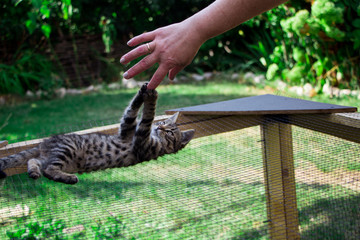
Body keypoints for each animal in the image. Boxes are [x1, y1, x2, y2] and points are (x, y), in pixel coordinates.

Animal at [0, 82, 194, 184]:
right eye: (162, 123)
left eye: (170, 133)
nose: (160, 128)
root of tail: (45, 143)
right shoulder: (126, 130)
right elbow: (131, 111)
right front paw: (143, 91)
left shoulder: (142, 140)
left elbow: (147, 114)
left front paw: (152, 96)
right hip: (58, 153)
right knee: (35, 161)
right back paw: (34, 172)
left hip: (66, 150)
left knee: (48, 168)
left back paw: (68, 178)